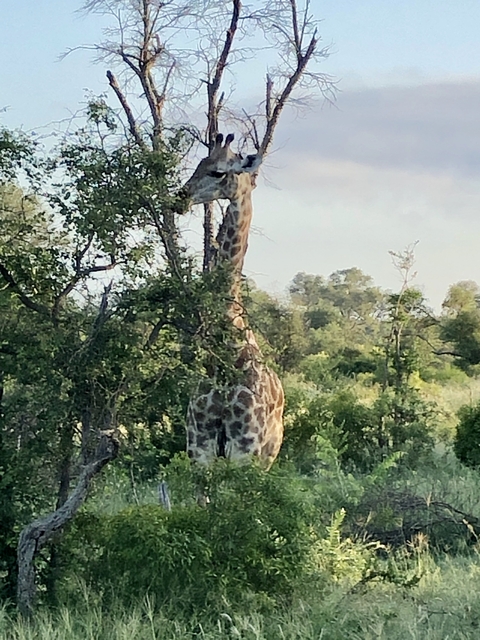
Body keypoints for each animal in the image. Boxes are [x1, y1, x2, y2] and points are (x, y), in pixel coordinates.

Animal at [182, 133, 284, 469]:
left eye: (218, 172)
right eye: (200, 163)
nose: (180, 196)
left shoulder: (245, 446)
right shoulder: (199, 443)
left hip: (268, 453)